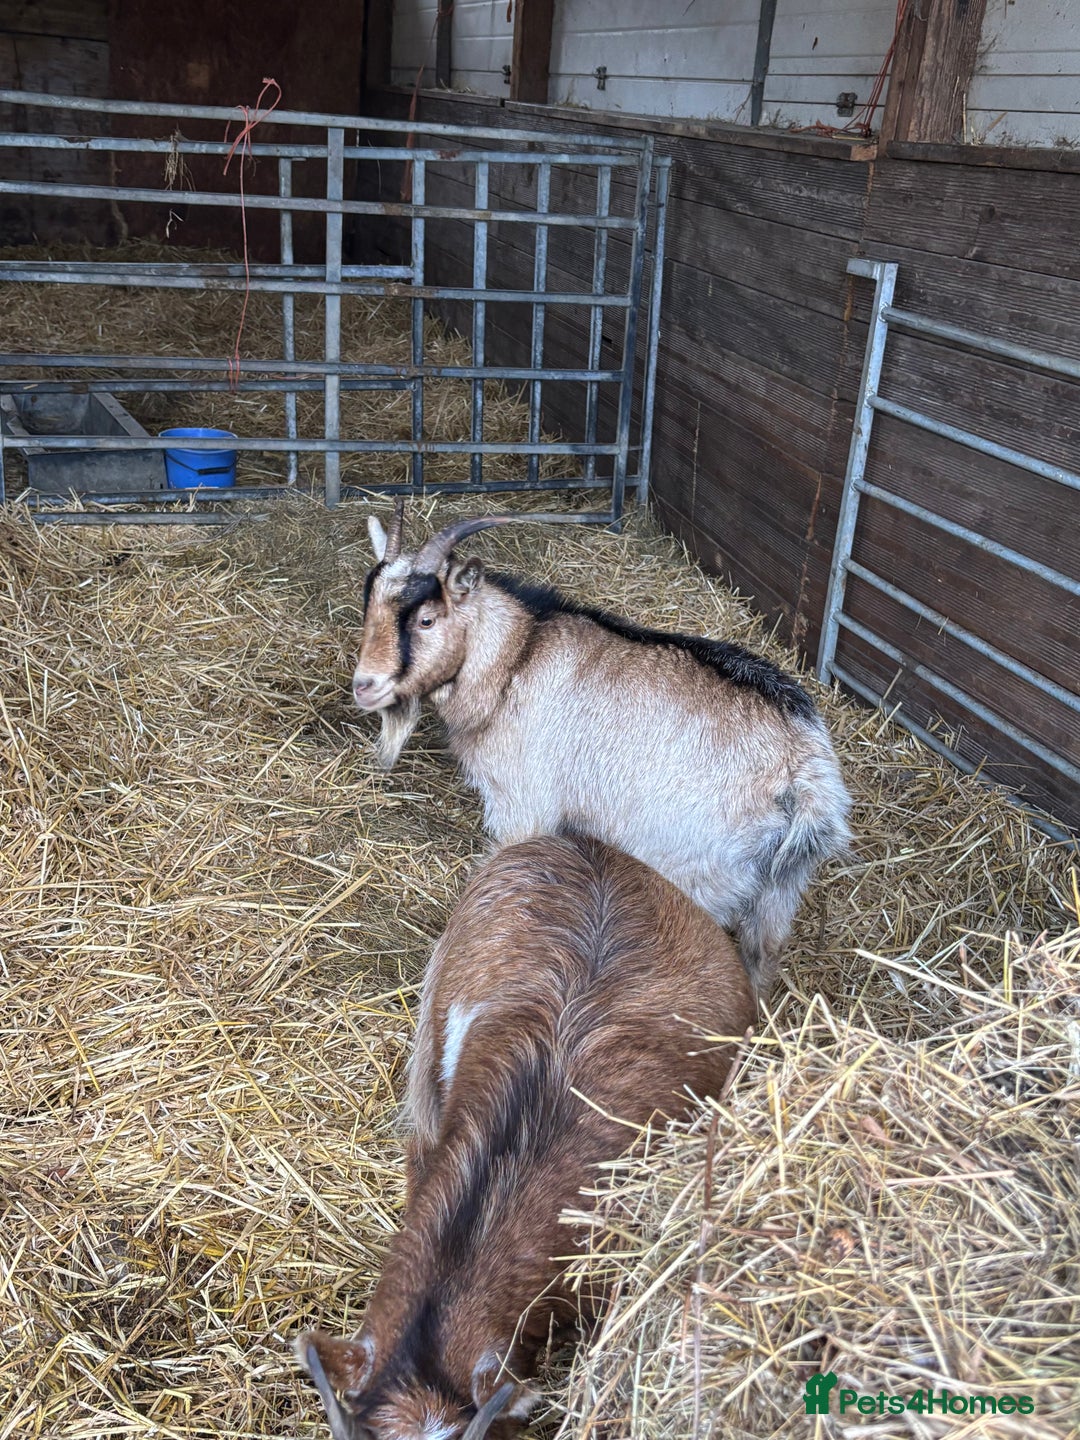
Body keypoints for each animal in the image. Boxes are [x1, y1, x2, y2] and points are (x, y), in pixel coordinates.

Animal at [350, 504, 851, 996]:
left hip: (696, 874)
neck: (515, 659)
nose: (364, 686)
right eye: (368, 607)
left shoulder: (521, 807)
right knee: (762, 956)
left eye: (426, 619)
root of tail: (803, 773)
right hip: (781, 890)